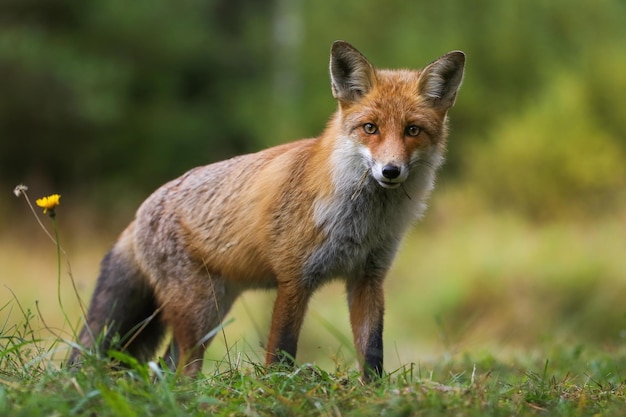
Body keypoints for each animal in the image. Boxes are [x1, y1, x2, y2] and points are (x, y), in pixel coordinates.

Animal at [69, 40, 464, 378]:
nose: (390, 171)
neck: (361, 223)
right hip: (199, 313)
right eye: (371, 128)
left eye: (412, 130)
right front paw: (277, 390)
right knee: (178, 369)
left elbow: (372, 352)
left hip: (212, 311)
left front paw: (374, 394)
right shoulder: (293, 278)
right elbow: (281, 352)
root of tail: (139, 213)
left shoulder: (368, 277)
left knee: (165, 368)